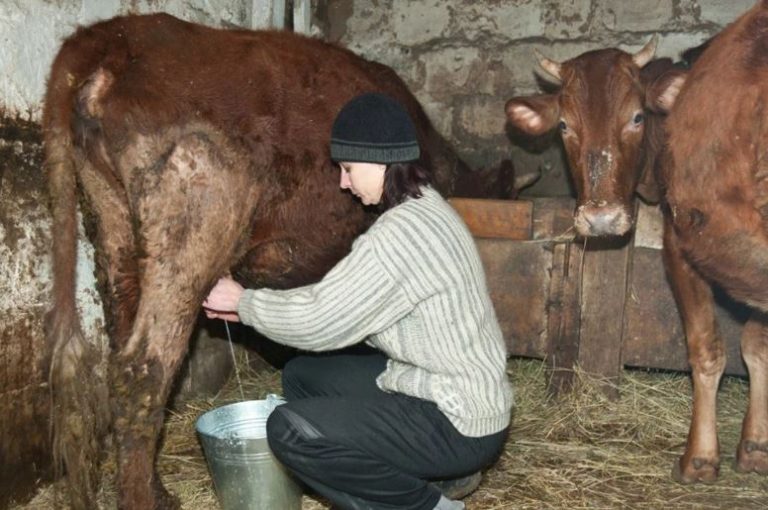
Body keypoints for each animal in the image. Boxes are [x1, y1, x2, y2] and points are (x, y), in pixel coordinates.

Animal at [40, 13, 510, 508]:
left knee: (120, 350)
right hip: (195, 211)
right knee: (143, 369)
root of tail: (116, 34)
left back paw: (158, 489)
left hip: (112, 221)